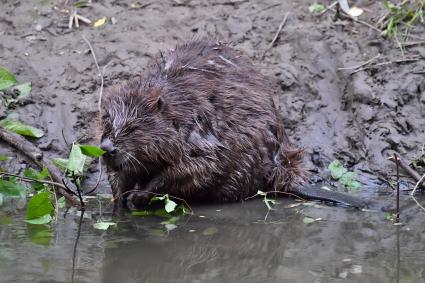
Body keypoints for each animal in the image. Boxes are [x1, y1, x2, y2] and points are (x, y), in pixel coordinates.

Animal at [97, 38, 364, 209]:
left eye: (134, 128)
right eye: (107, 123)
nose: (108, 149)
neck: (178, 107)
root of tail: (285, 172)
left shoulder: (201, 133)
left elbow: (196, 168)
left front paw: (139, 197)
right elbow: (119, 176)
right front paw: (118, 206)